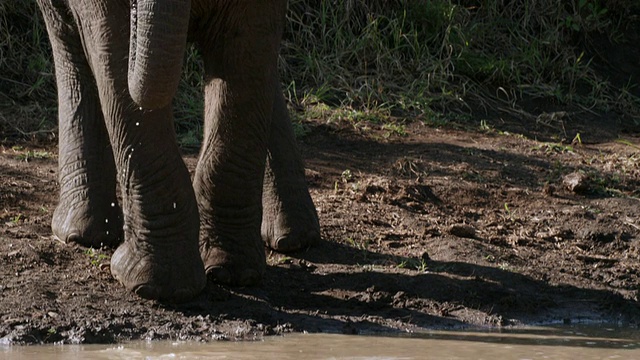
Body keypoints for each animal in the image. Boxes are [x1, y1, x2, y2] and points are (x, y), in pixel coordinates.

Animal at [35, 0, 320, 302]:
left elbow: (249, 56)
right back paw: (80, 233)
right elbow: (112, 45)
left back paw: (292, 238)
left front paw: (231, 272)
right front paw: (164, 286)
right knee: (67, 36)